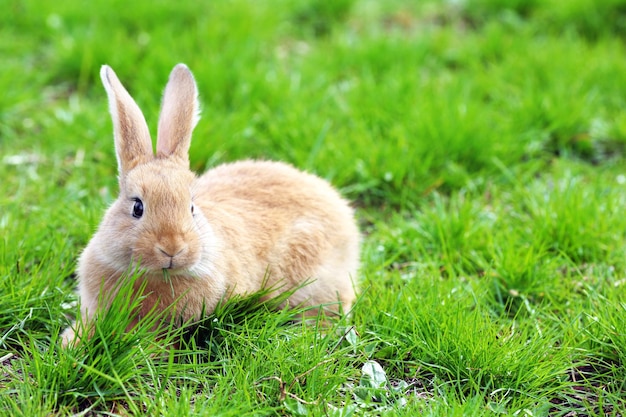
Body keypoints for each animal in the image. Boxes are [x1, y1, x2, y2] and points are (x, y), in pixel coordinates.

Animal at [62, 64, 360, 344]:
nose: (173, 248)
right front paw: (70, 343)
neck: (158, 275)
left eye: (192, 207)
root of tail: (343, 215)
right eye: (137, 207)